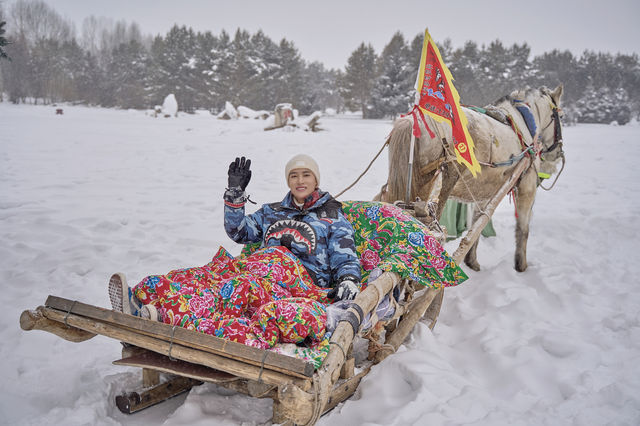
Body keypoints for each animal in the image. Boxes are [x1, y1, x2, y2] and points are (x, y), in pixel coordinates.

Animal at [378, 85, 564, 272]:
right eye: (561, 116)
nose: (557, 152)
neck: (523, 125)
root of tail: (415, 120)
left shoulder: (485, 194)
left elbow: (477, 226)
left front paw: (472, 261)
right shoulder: (527, 187)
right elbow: (523, 229)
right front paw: (521, 266)